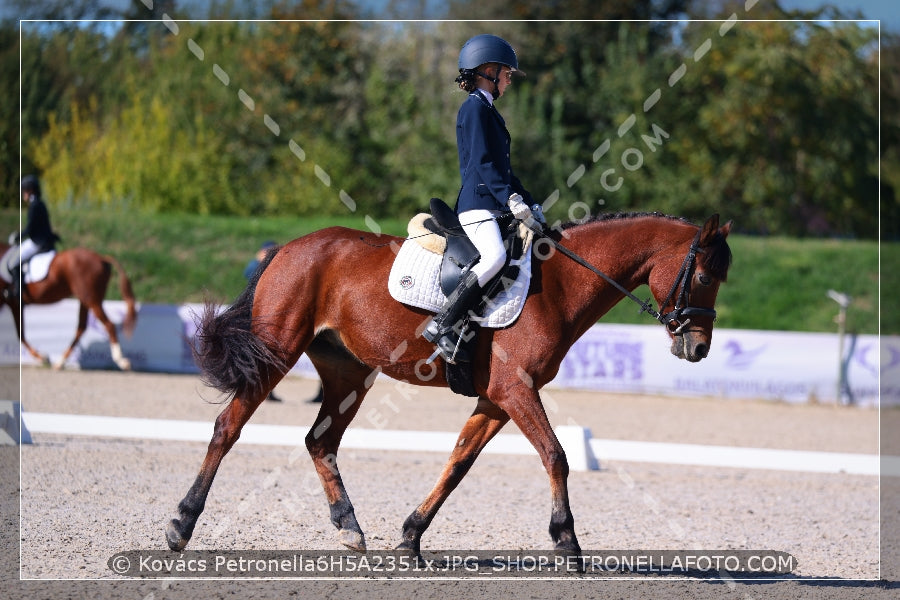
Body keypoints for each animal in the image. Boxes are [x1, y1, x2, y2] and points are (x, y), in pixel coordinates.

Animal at [0, 241, 137, 368]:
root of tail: (101, 258)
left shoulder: (10, 303)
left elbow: (20, 335)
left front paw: (43, 358)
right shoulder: (14, 304)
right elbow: (21, 334)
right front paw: (43, 358)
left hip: (92, 300)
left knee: (108, 325)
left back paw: (121, 361)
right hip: (85, 300)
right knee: (81, 328)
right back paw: (61, 362)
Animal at [167, 212, 732, 556]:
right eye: (706, 277)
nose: (698, 349)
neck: (558, 285)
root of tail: (286, 249)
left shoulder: (497, 398)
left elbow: (460, 461)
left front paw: (411, 537)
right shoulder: (516, 390)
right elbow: (556, 455)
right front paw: (567, 542)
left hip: (349, 372)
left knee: (319, 441)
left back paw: (350, 529)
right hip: (276, 352)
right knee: (227, 427)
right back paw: (181, 525)